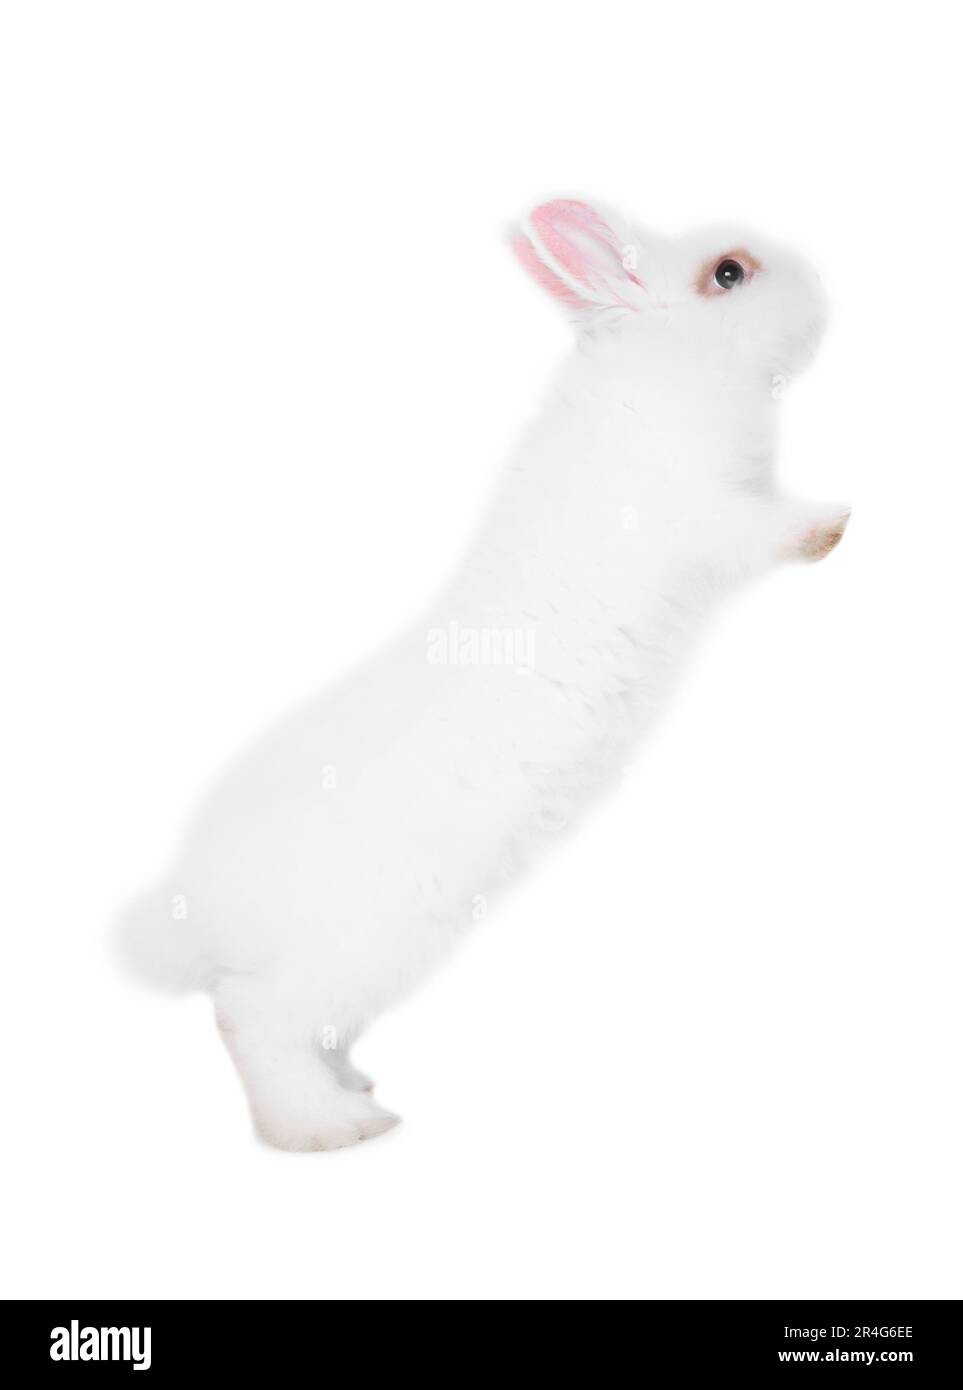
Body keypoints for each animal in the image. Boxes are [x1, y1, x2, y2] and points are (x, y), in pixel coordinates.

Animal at [116, 198, 848, 1151]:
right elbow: (763, 531)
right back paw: (337, 1125)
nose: (821, 293)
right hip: (349, 953)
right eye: (728, 273)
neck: (667, 360)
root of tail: (196, 903)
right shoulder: (709, 514)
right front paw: (833, 523)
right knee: (250, 1021)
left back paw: (351, 1087)